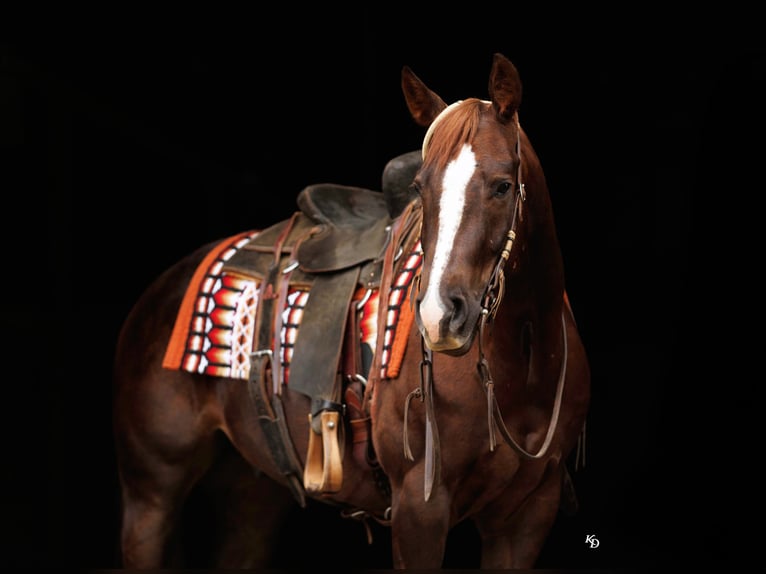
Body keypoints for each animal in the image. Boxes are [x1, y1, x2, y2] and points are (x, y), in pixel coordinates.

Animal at [113, 52, 590, 569]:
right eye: (420, 189)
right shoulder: (419, 509)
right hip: (151, 498)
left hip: (250, 493)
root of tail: (160, 290)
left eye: (503, 186)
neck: (521, 366)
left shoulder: (527, 516)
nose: (439, 316)